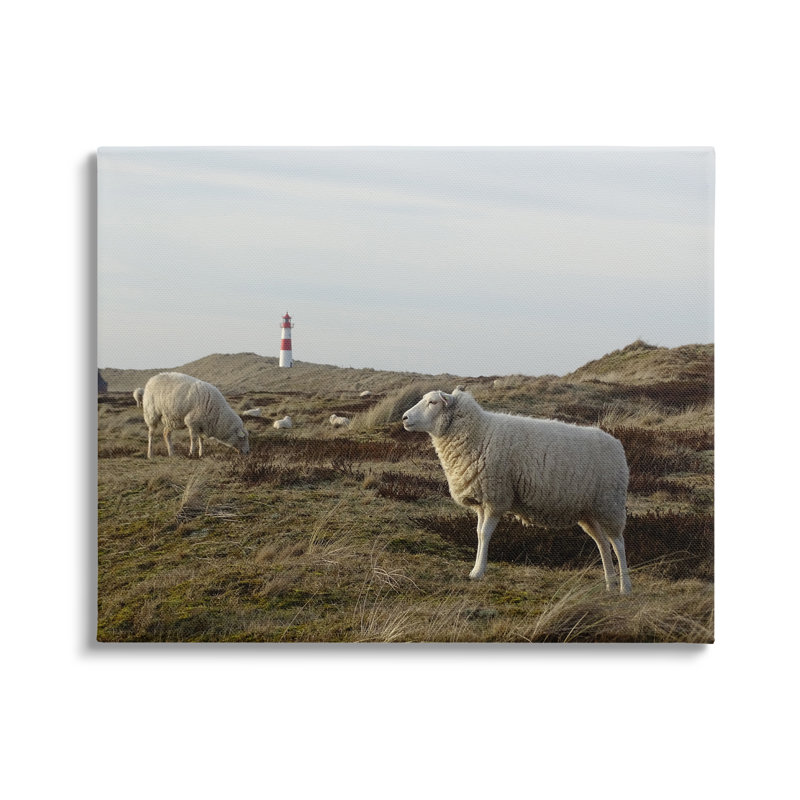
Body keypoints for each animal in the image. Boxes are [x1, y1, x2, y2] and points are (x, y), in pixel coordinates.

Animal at [402, 388, 631, 594]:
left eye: (432, 402)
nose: (404, 417)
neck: (478, 433)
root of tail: (617, 444)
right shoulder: (483, 499)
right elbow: (478, 533)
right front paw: (475, 568)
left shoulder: (496, 498)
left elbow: (485, 534)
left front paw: (478, 572)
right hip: (589, 511)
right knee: (603, 542)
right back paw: (610, 584)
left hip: (609, 503)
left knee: (618, 543)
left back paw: (624, 587)